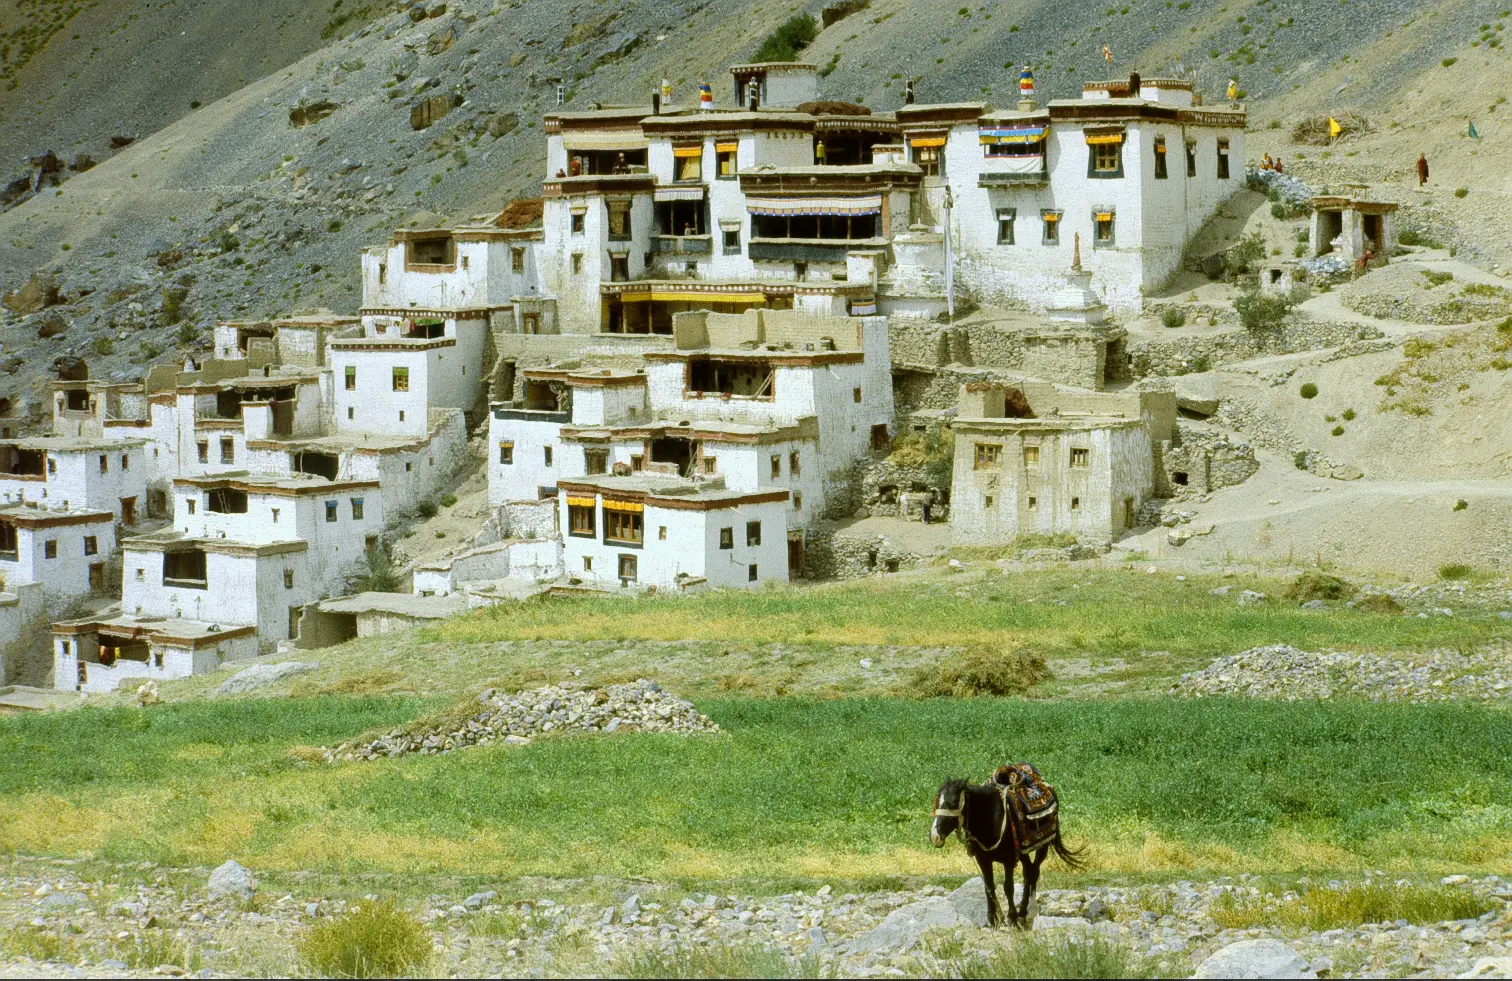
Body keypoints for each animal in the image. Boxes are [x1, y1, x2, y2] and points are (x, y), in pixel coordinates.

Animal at [925, 773, 1082, 925]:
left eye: (952, 804)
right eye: (936, 802)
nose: (935, 836)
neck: (990, 819)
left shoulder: (1009, 861)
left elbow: (1008, 888)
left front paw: (1011, 918)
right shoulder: (983, 860)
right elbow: (989, 887)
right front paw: (991, 920)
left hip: (1042, 846)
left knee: (1033, 873)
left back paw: (1024, 912)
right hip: (1023, 852)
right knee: (1028, 872)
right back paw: (1022, 911)